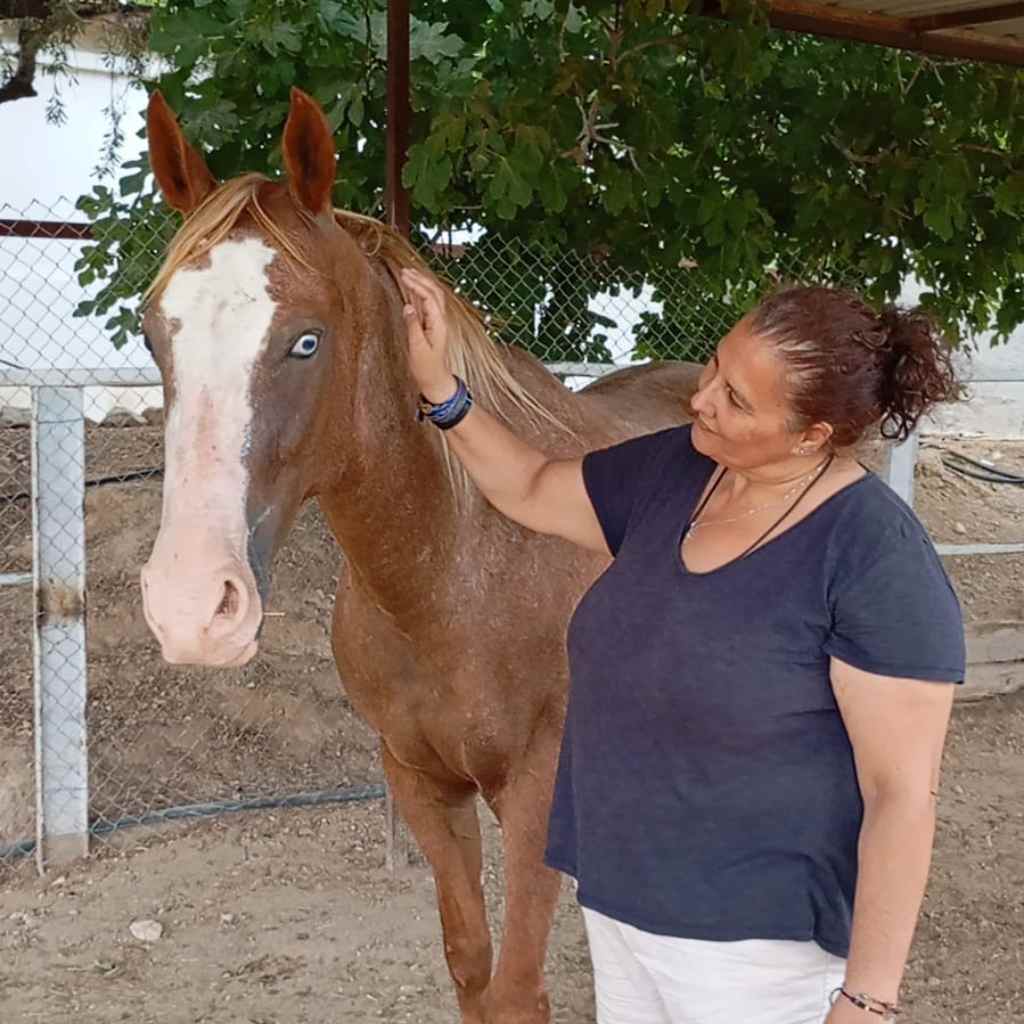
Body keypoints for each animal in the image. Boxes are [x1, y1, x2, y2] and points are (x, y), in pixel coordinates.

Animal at [139, 86, 701, 1024]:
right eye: (154, 337)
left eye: (307, 340)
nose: (190, 608)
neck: (454, 571)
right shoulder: (420, 782)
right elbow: (470, 965)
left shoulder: (536, 791)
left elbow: (517, 989)